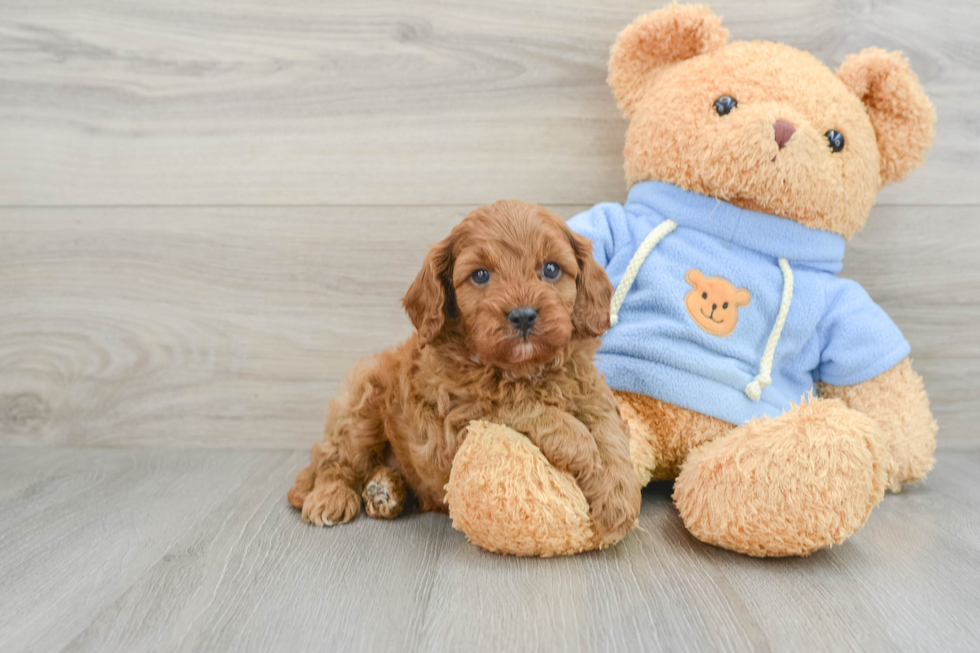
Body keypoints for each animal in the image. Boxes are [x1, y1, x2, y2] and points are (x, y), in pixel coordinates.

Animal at [286, 199, 644, 544]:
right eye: (481, 275)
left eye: (552, 269)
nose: (523, 316)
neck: (521, 370)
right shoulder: (457, 418)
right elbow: (514, 405)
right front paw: (579, 444)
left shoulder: (590, 391)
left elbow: (610, 430)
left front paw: (619, 499)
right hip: (360, 407)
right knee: (335, 461)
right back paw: (330, 497)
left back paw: (384, 491)